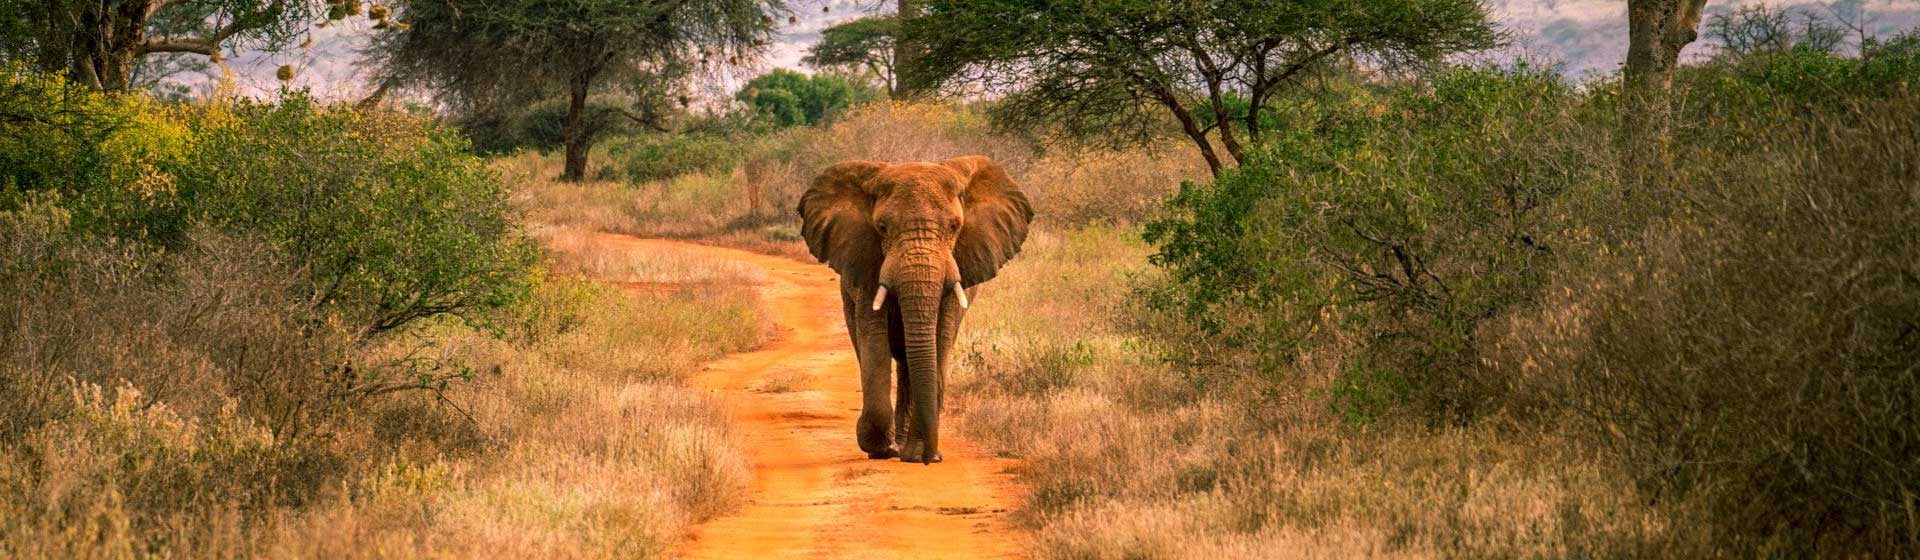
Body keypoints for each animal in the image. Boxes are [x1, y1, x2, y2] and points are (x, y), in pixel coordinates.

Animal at [794, 154, 1036, 464]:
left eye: (954, 227)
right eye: (882, 227)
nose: (931, 458)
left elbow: (940, 340)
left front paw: (918, 455)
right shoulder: (867, 263)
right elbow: (873, 338)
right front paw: (881, 449)